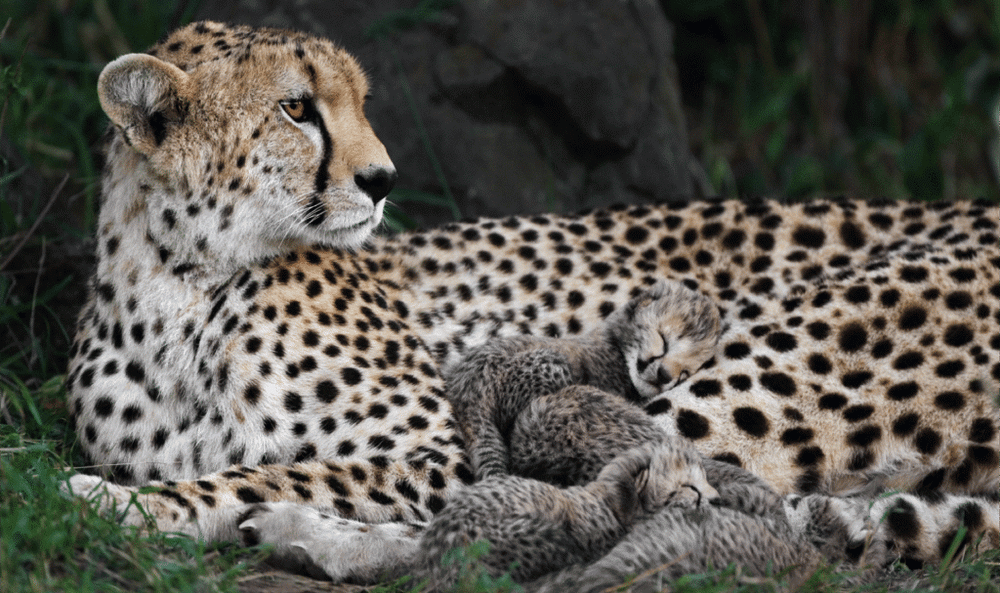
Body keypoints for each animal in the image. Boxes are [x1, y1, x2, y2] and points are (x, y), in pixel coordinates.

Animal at [445, 278, 720, 481]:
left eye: (685, 372)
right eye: (664, 340)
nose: (665, 376)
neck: (616, 346)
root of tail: (465, 385)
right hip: (551, 367)